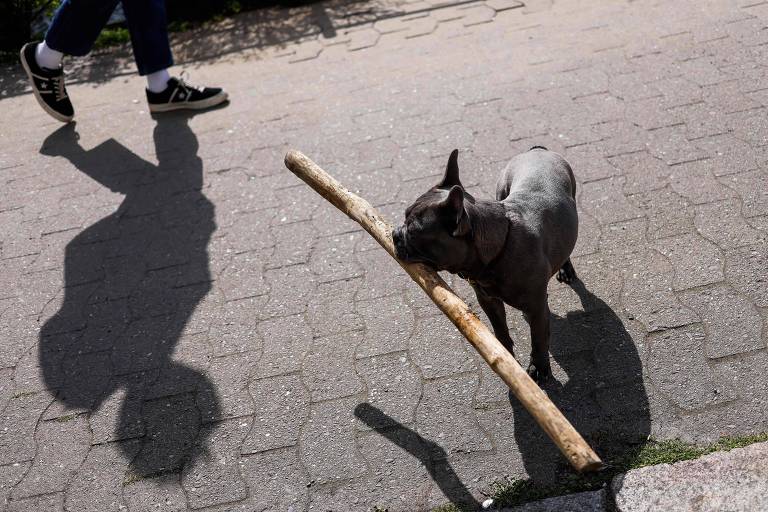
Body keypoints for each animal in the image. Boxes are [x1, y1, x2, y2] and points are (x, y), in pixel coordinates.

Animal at [396, 146, 576, 382]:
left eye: (414, 232)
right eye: (404, 216)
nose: (395, 234)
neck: (499, 249)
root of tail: (537, 150)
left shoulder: (537, 306)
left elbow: (538, 339)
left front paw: (539, 368)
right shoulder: (488, 300)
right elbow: (500, 329)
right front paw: (505, 356)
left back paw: (567, 269)